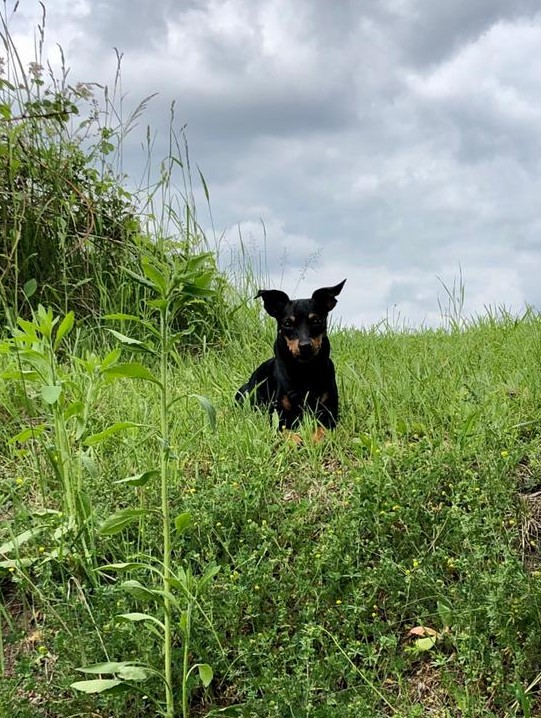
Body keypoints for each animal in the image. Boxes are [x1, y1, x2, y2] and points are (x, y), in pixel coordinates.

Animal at [233, 280, 344, 438]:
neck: (304, 371)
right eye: (287, 323)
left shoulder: (328, 413)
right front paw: (298, 440)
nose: (305, 345)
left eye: (317, 321)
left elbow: (321, 430)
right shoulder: (279, 416)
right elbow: (289, 433)